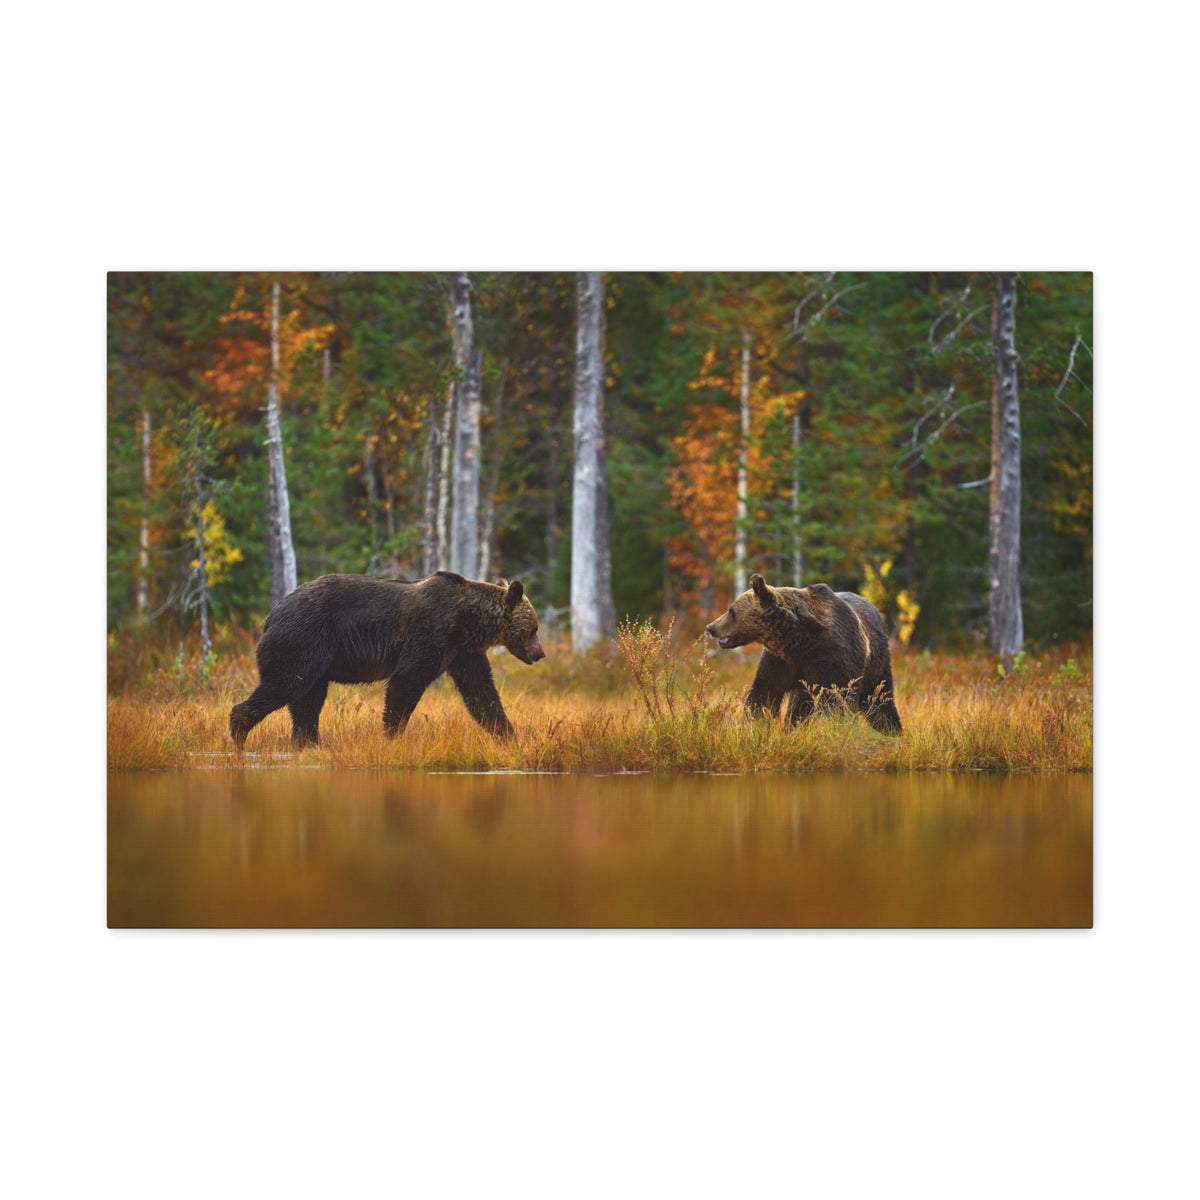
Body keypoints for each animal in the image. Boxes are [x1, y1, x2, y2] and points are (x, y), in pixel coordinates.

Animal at [229, 571, 544, 749]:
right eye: (534, 628)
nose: (540, 653)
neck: (468, 622)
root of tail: (271, 614)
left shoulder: (462, 653)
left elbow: (481, 692)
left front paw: (509, 736)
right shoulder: (431, 635)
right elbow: (406, 681)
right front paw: (391, 735)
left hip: (316, 658)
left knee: (308, 700)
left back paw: (310, 743)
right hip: (303, 639)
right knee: (285, 684)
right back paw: (239, 734)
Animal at [705, 574, 902, 734]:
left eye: (731, 611)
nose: (710, 627)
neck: (798, 640)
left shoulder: (832, 657)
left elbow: (838, 698)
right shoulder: (782, 661)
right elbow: (765, 692)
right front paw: (755, 724)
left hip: (877, 661)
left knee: (879, 697)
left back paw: (891, 730)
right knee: (799, 705)